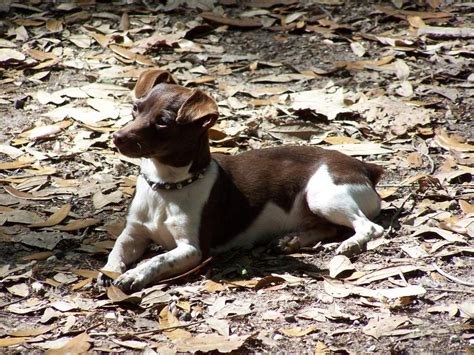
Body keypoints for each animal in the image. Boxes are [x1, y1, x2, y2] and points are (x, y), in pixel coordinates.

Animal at [97, 69, 386, 292]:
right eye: (135, 109)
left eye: (163, 122)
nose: (117, 138)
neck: (166, 187)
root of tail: (365, 167)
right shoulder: (133, 234)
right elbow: (116, 251)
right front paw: (110, 270)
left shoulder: (192, 250)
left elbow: (157, 260)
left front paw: (134, 275)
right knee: (330, 228)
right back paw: (292, 240)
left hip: (323, 197)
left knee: (369, 227)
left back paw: (350, 244)